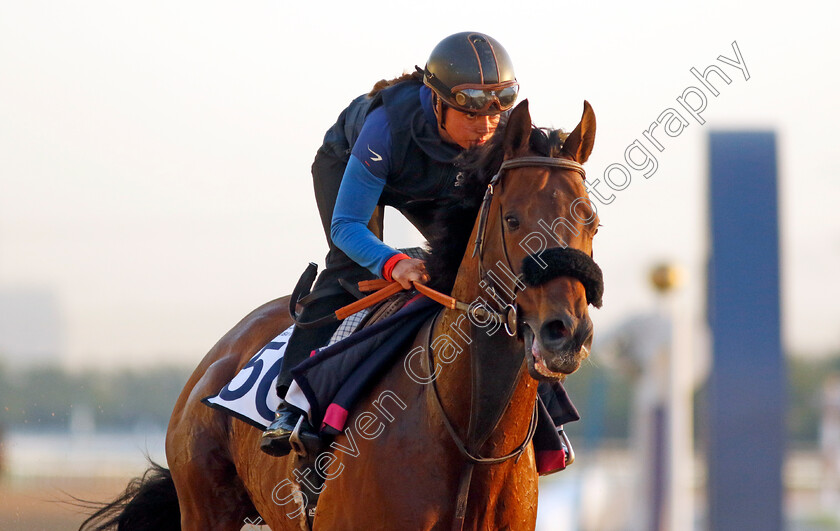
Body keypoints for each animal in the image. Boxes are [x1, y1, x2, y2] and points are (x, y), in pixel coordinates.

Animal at [79, 97, 600, 528]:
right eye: (512, 220)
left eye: (591, 220)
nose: (565, 332)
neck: (472, 440)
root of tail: (217, 357)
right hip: (206, 507)